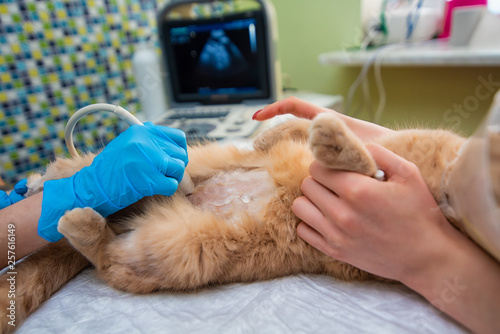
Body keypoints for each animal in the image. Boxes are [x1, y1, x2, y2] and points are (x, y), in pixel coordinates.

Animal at [0, 111, 496, 332]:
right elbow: (301, 131)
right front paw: (292, 135)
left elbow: (360, 160)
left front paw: (334, 142)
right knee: (72, 181)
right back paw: (44, 186)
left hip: (178, 251)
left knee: (106, 258)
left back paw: (78, 219)